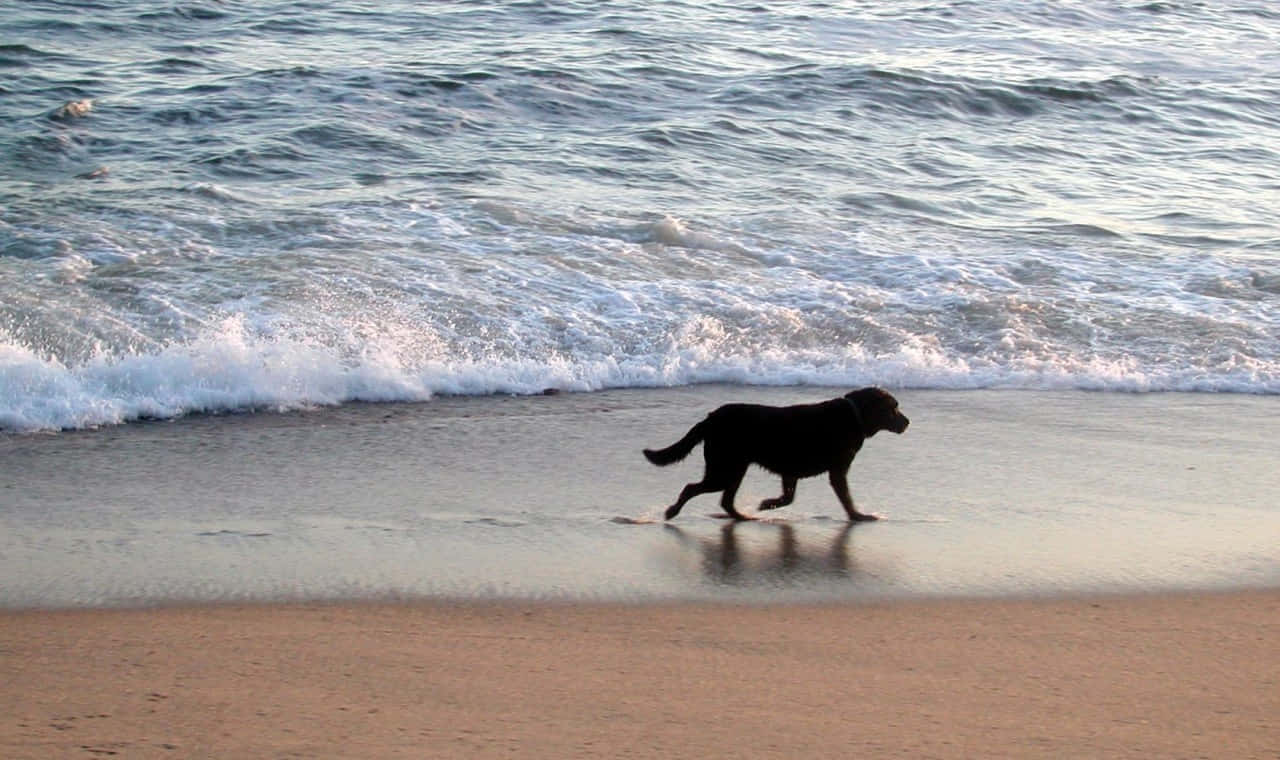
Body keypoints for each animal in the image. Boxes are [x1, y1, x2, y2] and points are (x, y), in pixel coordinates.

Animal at [645, 386, 906, 516]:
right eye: (893, 408)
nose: (908, 422)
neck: (854, 414)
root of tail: (710, 418)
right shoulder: (837, 472)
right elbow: (847, 498)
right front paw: (858, 516)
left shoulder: (791, 471)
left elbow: (788, 497)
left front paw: (767, 504)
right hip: (724, 469)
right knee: (692, 488)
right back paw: (672, 511)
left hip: (734, 469)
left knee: (726, 501)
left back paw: (742, 517)